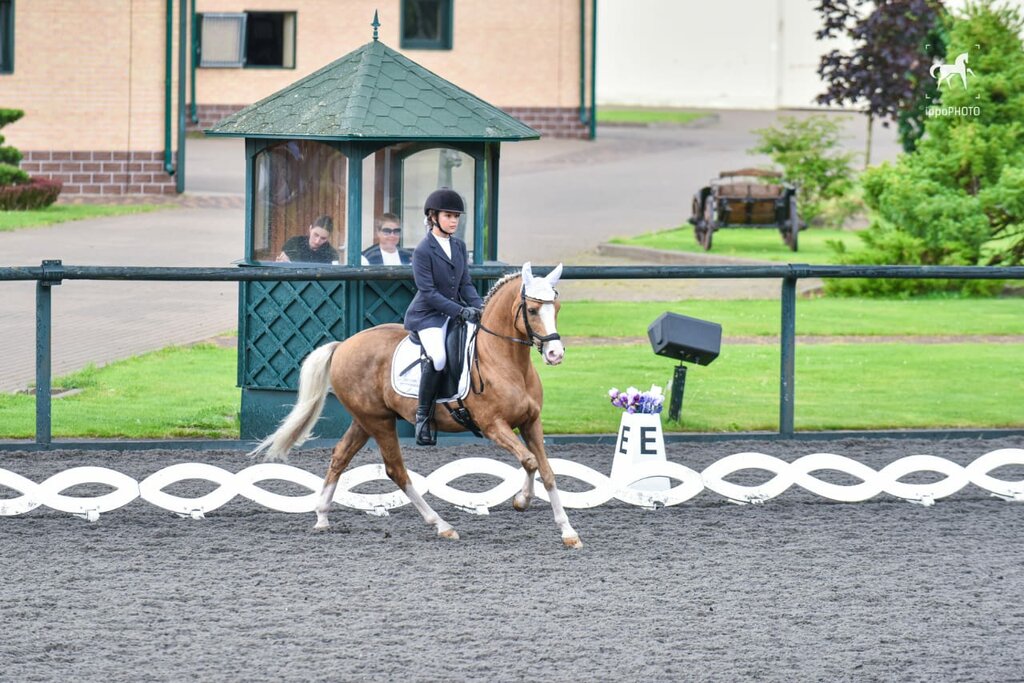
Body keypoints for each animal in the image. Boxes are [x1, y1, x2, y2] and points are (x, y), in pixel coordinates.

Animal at [249, 262, 585, 548]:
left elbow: (546, 470)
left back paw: (321, 516)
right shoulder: (493, 426)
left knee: (340, 456)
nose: (555, 354)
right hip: (379, 422)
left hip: (365, 420)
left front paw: (568, 531)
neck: (505, 362)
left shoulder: (531, 423)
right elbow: (529, 462)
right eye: (532, 309)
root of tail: (343, 345)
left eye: (556, 308)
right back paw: (441, 525)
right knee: (395, 470)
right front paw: (521, 501)